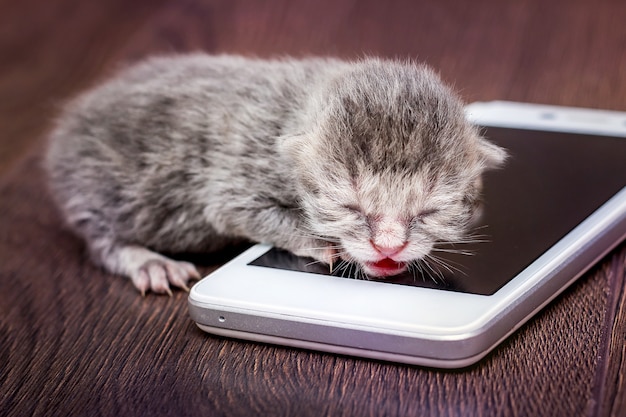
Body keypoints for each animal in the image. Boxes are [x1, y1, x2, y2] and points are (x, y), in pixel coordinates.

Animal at [44, 53, 504, 294]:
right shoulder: (239, 174)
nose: (388, 247)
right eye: (349, 207)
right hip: (96, 190)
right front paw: (319, 243)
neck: (304, 105)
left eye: (428, 212)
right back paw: (150, 262)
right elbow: (240, 213)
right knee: (103, 243)